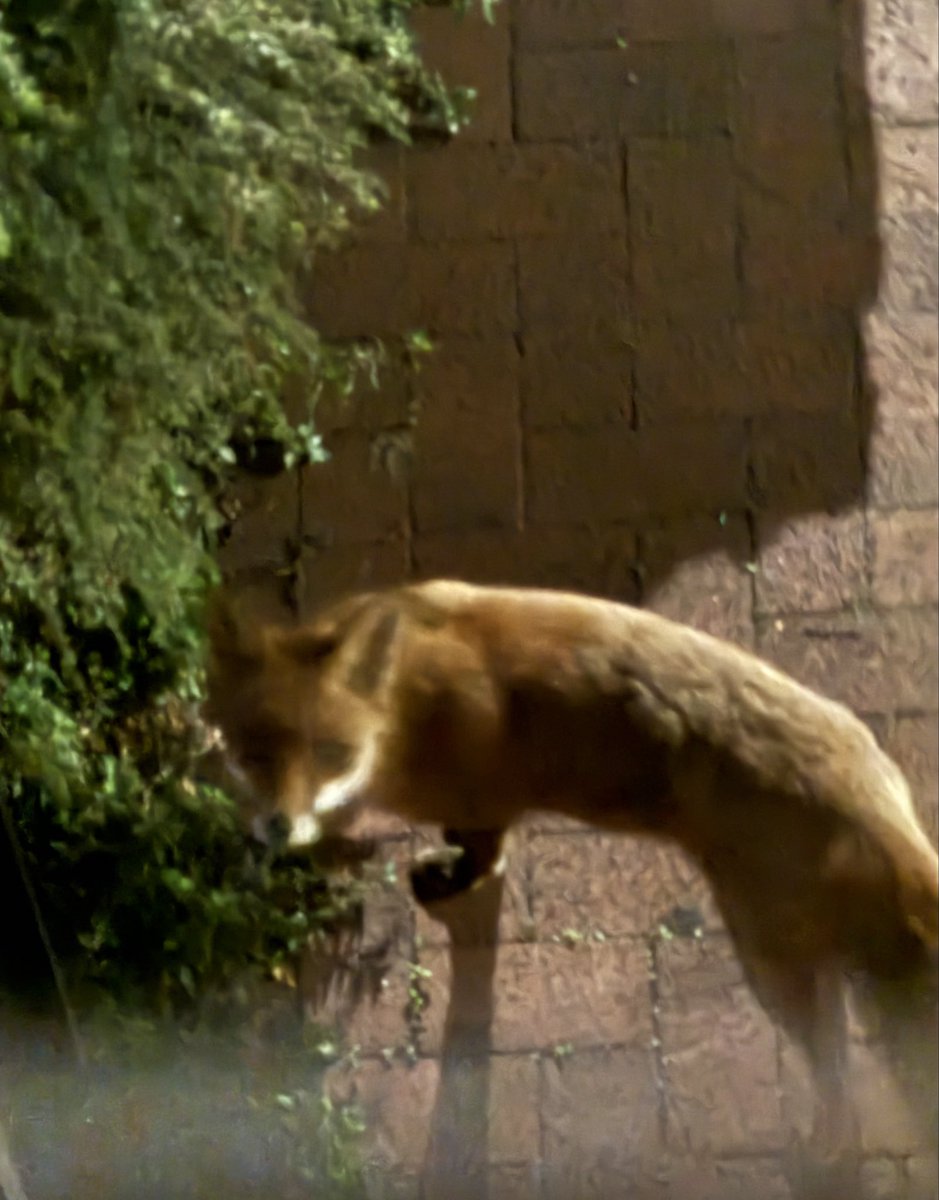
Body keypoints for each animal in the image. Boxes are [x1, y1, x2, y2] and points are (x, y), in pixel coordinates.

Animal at [206, 579, 938, 1190]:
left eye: (331, 753)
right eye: (254, 752)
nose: (277, 826)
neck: (407, 705)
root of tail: (879, 807)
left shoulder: (487, 802)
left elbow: (480, 857)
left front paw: (445, 879)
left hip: (769, 968)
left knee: (838, 1082)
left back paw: (819, 1153)